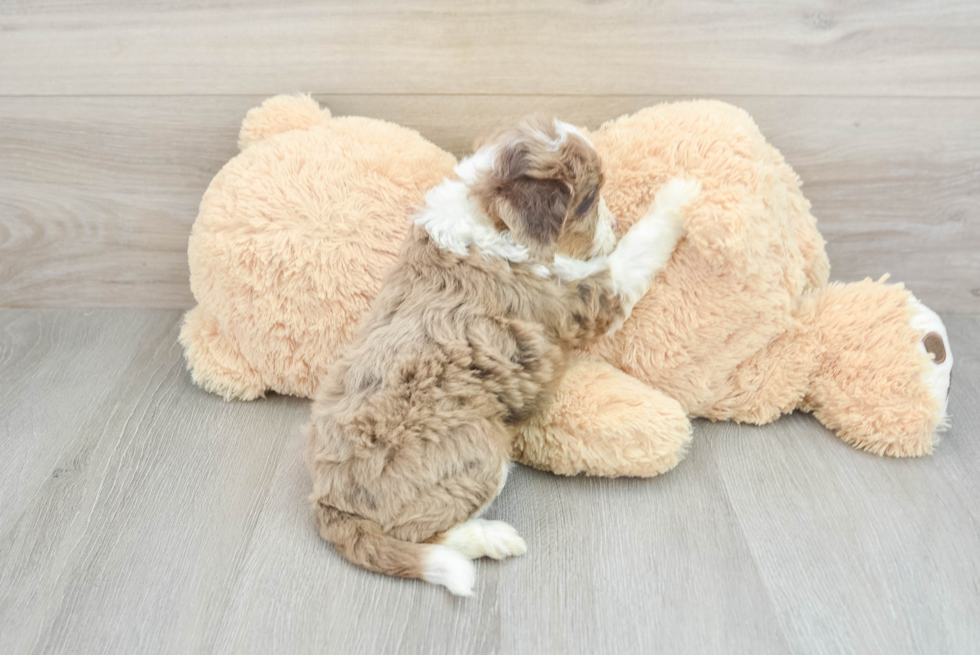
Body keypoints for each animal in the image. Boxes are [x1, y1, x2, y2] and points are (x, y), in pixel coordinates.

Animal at [304, 115, 696, 596]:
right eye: (588, 200)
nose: (616, 221)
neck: (490, 222)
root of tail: (328, 502)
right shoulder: (586, 296)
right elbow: (639, 249)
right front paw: (680, 194)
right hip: (479, 450)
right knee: (424, 533)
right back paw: (492, 538)